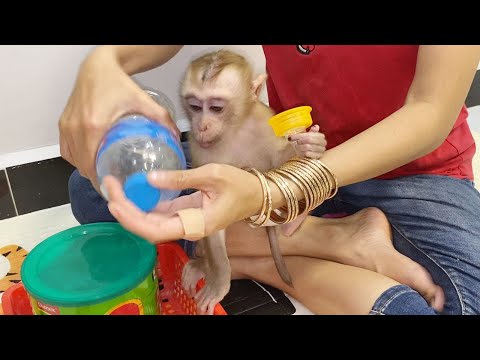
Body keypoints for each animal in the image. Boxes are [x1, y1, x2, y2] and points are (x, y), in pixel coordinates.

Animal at [180, 49, 326, 314]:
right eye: (194, 106)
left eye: (215, 108)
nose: (201, 126)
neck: (234, 128)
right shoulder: (202, 151)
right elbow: (213, 210)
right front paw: (219, 278)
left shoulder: (264, 120)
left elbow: (279, 160)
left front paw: (310, 145)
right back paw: (203, 264)